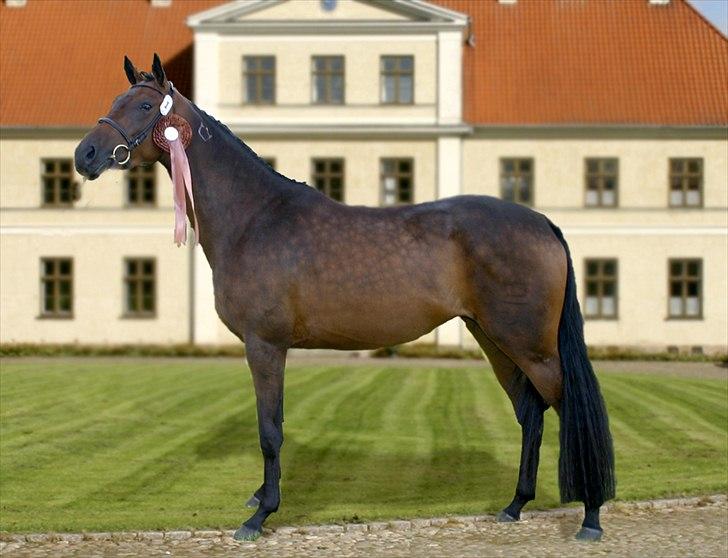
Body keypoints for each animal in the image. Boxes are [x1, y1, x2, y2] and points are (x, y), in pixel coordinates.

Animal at [75, 55, 616, 544]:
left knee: (568, 408)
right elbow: (273, 424)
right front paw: (260, 499)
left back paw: (590, 517)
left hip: (532, 346)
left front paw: (260, 517)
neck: (254, 218)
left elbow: (269, 430)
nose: (86, 155)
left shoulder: (264, 345)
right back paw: (515, 506)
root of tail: (542, 222)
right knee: (530, 412)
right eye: (115, 101)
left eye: (145, 105)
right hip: (493, 338)